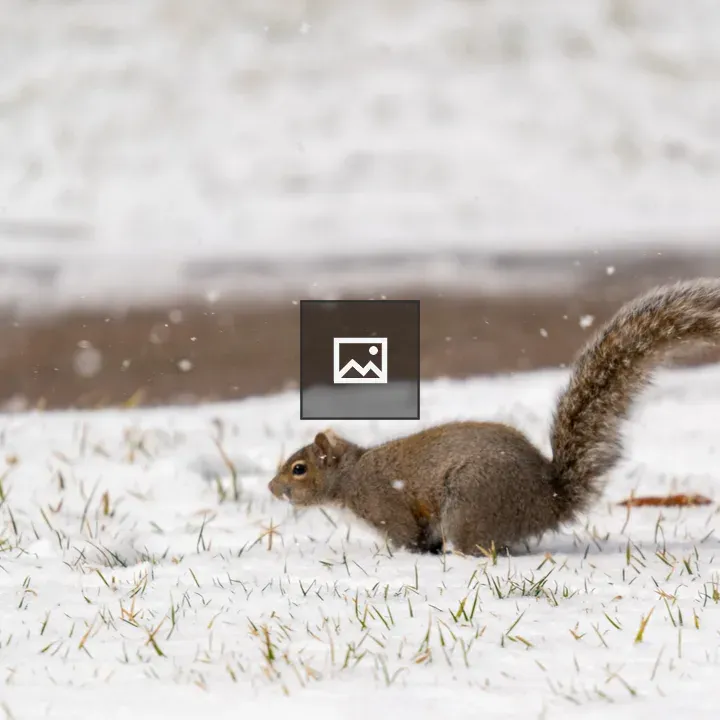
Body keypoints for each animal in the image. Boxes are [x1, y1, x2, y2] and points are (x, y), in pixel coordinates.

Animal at [268, 278, 720, 556]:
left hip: (469, 501)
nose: (272, 489)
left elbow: (407, 537)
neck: (350, 475)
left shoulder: (384, 503)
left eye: (298, 468)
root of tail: (549, 501)